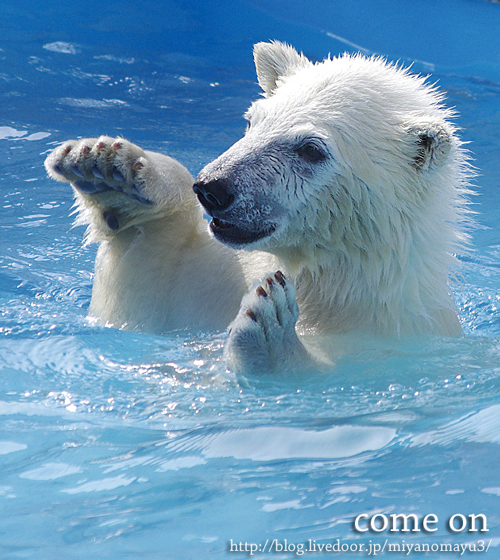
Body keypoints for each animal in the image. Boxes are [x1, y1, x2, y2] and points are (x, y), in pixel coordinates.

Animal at [44, 41, 472, 374]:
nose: (212, 188)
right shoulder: (214, 283)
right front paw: (108, 172)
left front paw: (270, 328)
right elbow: (139, 293)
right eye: (253, 121)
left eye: (311, 149)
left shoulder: (392, 342)